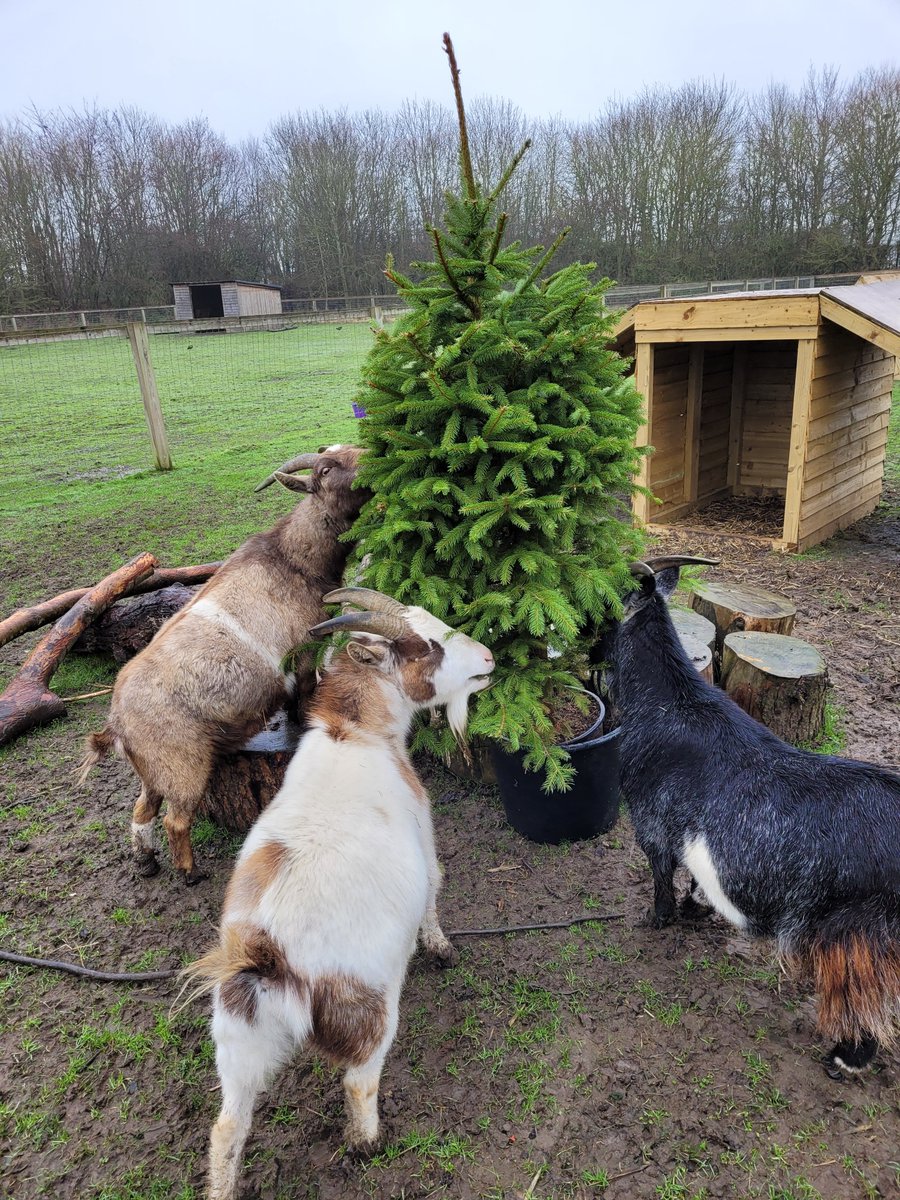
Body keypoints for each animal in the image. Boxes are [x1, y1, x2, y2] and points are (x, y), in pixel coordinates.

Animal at [78, 446, 367, 884]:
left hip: (153, 771)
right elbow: (303, 693)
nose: (372, 460)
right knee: (175, 820)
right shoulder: (304, 647)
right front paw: (303, 725)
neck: (292, 559)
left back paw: (146, 862)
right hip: (183, 766)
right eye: (325, 469)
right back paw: (190, 872)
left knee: (142, 811)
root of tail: (116, 725)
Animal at [178, 586, 494, 1200]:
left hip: (237, 1035)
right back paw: (368, 1143)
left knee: (228, 1125)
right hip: (371, 1010)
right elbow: (435, 886)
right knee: (358, 1081)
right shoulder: (423, 829)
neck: (356, 734)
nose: (489, 658)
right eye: (434, 646)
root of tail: (269, 954)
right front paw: (441, 948)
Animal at [611, 556, 900, 1078]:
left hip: (860, 934)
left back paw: (845, 1058)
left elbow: (661, 873)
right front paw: (696, 907)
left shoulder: (651, 822)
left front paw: (657, 918)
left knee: (864, 998)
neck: (669, 702)